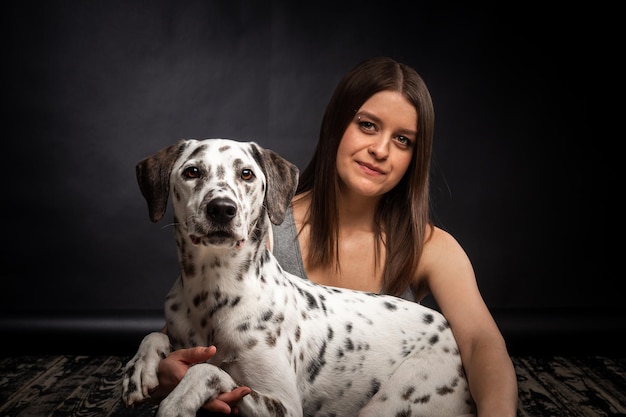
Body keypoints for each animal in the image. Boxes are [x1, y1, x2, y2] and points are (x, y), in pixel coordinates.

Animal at [120, 138, 472, 414]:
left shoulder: (283, 405)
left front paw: (176, 402)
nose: (221, 208)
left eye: (246, 173)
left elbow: (210, 370)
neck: (212, 289)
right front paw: (139, 368)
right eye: (192, 171)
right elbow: (155, 336)